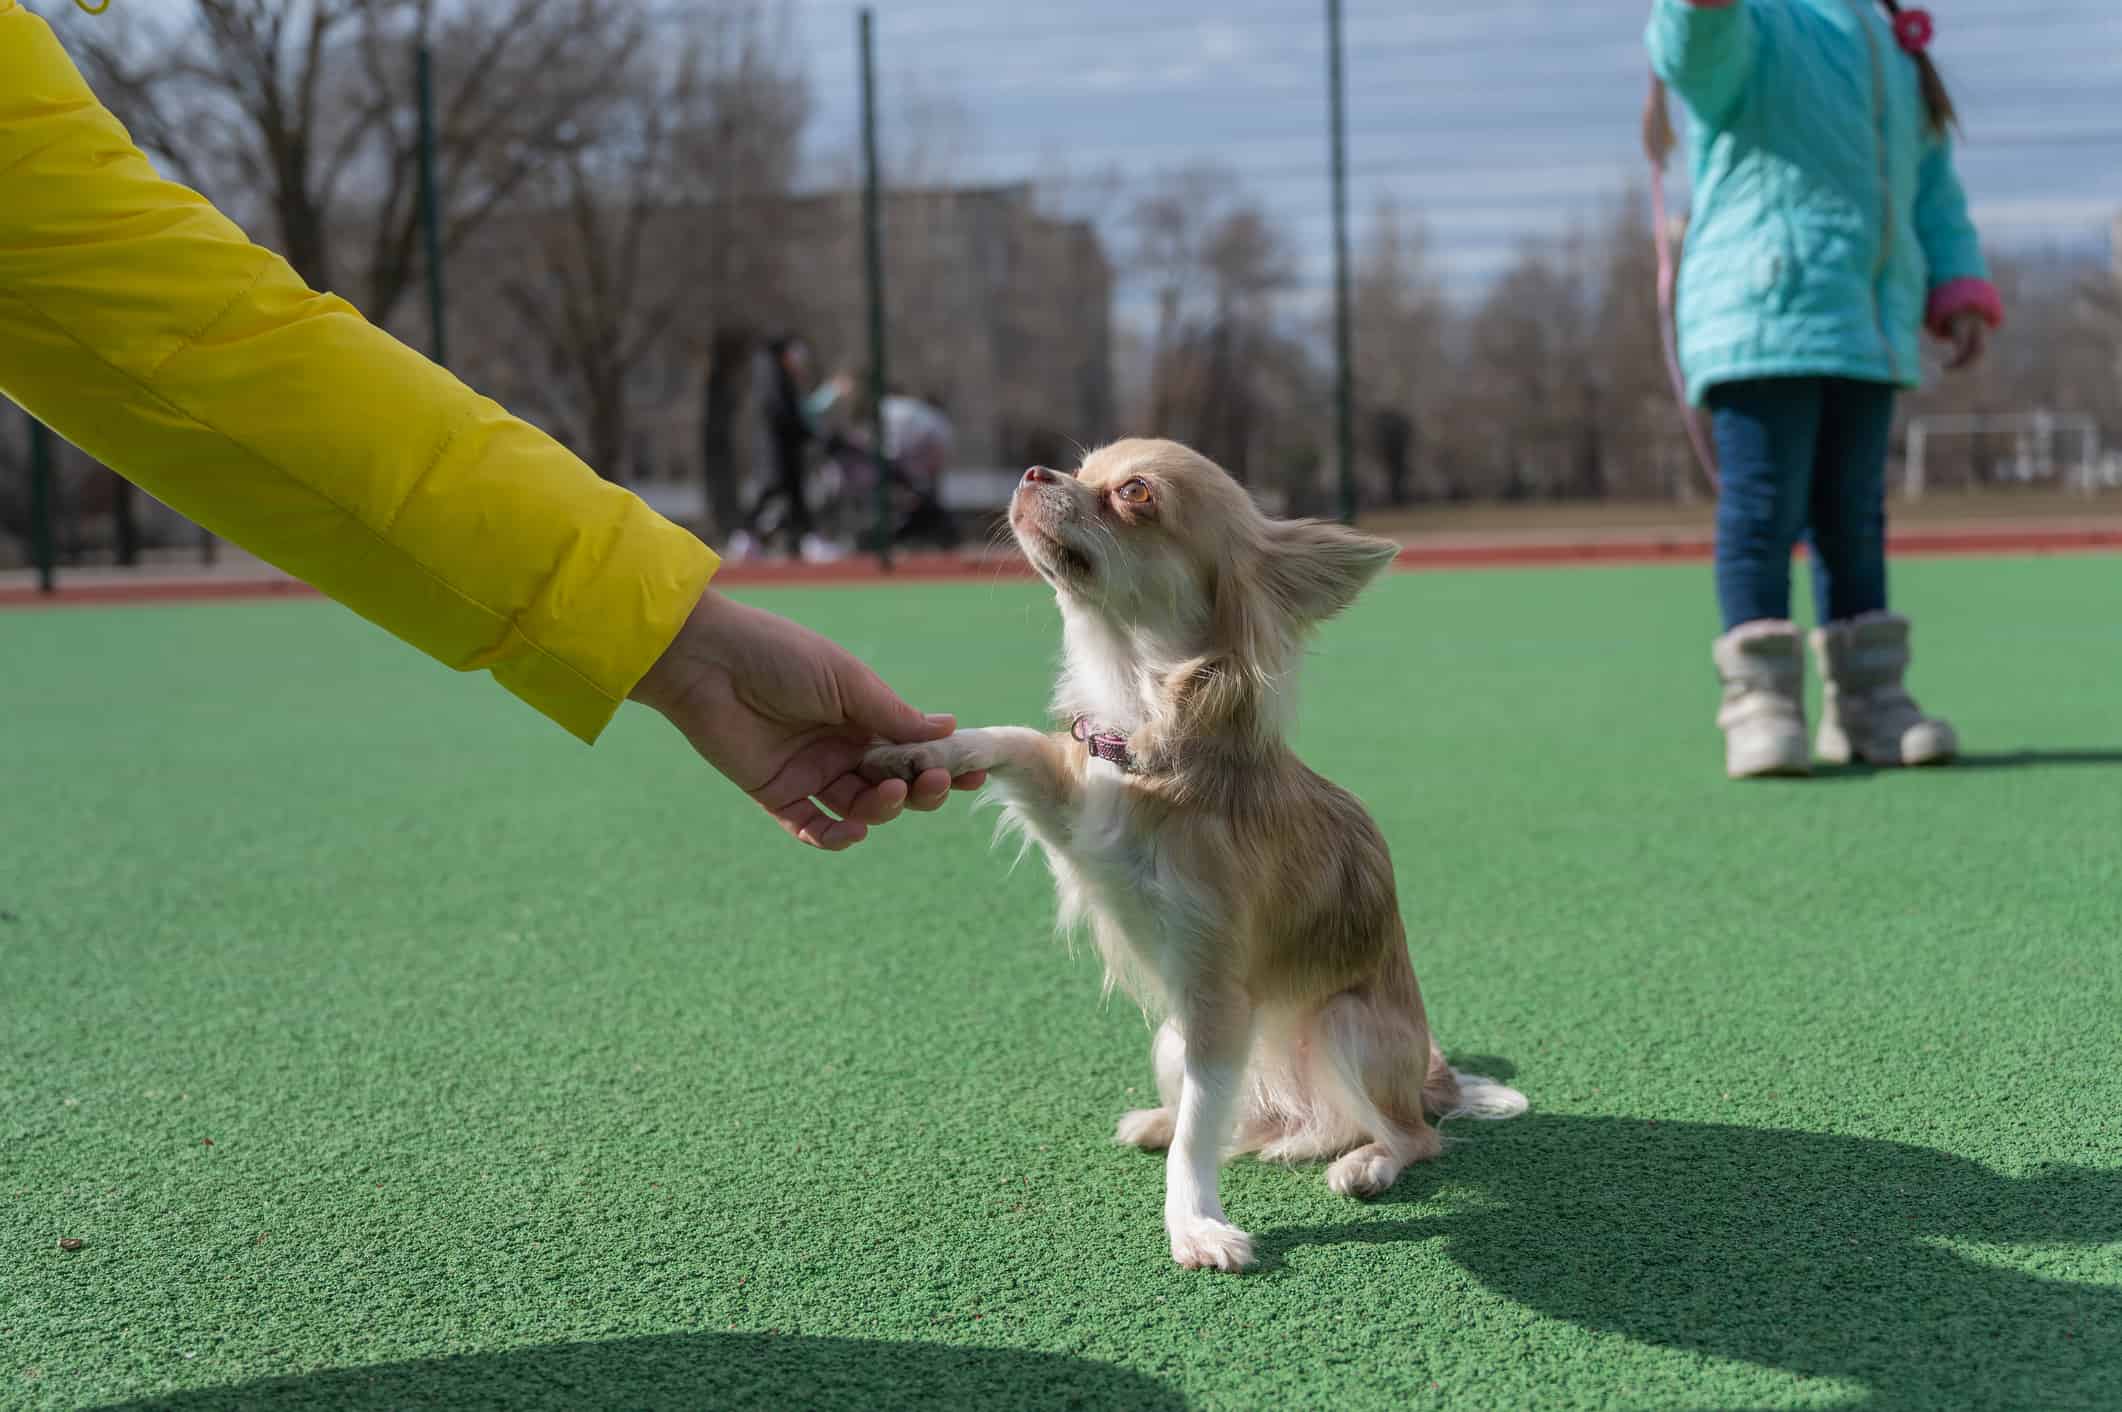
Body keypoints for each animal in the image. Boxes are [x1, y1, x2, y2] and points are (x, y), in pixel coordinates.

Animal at [861, 437, 1527, 1265]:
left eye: (1136, 493)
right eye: (1083, 468)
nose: (1035, 472)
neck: (1143, 730)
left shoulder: (1216, 995)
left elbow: (1198, 1138)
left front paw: (1194, 1222)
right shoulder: (1079, 825)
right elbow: (1009, 739)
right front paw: (915, 750)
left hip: (1340, 1028)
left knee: (1412, 1135)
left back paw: (1368, 1161)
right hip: (1168, 1041)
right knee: (1240, 1119)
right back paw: (1165, 1120)